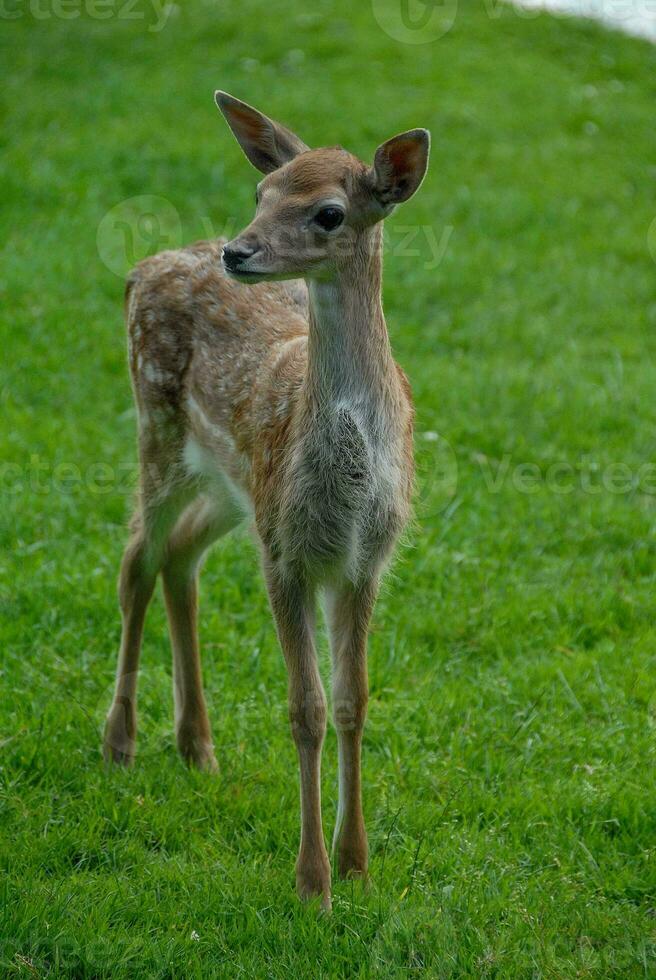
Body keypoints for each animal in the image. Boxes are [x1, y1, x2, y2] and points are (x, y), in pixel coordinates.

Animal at [102, 94, 430, 912]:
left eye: (328, 212)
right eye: (261, 192)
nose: (238, 251)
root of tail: (143, 266)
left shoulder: (363, 558)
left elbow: (352, 701)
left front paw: (357, 864)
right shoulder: (288, 555)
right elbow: (305, 709)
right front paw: (312, 881)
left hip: (233, 486)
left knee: (179, 556)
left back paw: (197, 747)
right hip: (158, 426)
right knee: (136, 558)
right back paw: (120, 742)